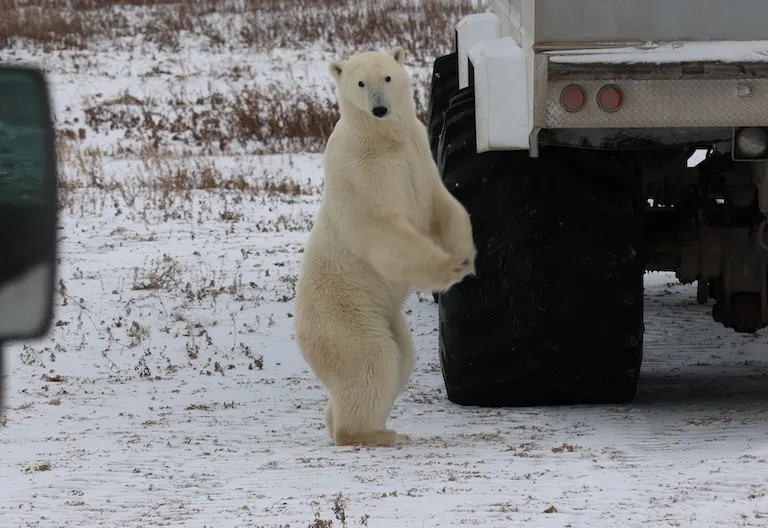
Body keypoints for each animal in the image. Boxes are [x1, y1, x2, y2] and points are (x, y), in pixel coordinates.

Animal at [294, 46, 476, 447]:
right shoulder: (364, 171)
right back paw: (374, 432)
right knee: (371, 360)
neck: (381, 138)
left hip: (385, 315)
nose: (380, 108)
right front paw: (449, 268)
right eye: (361, 82)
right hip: (345, 315)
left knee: (401, 360)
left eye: (388, 77)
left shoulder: (418, 153)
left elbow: (442, 204)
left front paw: (467, 256)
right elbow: (384, 230)